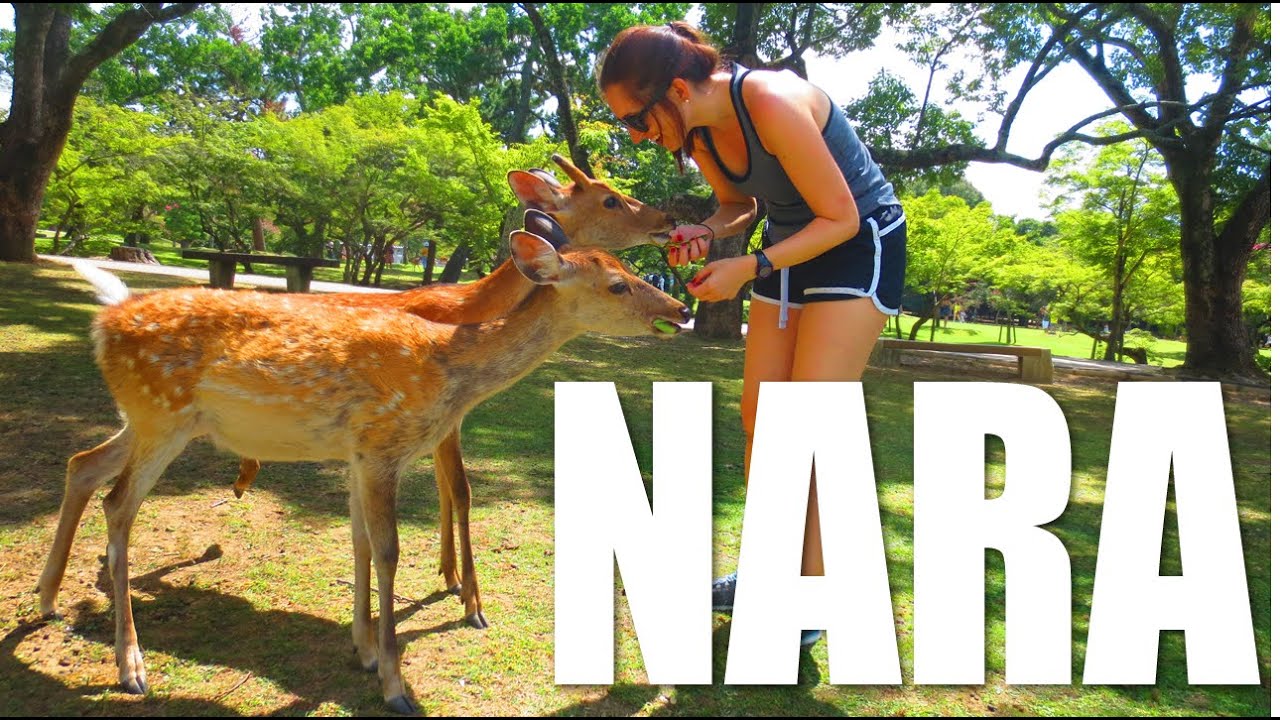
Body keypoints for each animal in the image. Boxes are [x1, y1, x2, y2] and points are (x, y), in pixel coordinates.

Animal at [38, 229, 690, 714]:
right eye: (617, 283)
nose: (681, 309)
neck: (449, 374)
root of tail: (104, 322)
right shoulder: (381, 444)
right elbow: (388, 550)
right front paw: (395, 685)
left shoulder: (356, 452)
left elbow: (356, 544)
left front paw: (366, 651)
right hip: (161, 413)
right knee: (118, 504)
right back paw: (131, 667)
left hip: (150, 417)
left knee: (82, 465)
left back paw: (47, 601)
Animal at [227, 154, 676, 630]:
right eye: (610, 198)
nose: (668, 219)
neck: (470, 311)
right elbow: (460, 490)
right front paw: (472, 601)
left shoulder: (449, 416)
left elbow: (449, 487)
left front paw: (451, 576)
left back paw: (243, 476)